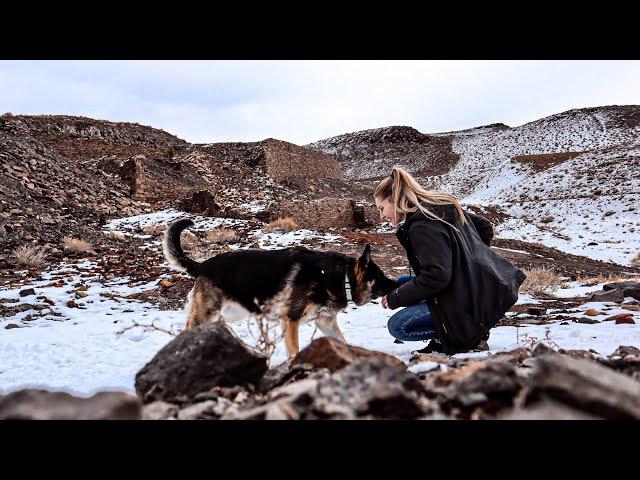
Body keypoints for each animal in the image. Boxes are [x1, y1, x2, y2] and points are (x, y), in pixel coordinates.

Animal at [162, 218, 398, 356]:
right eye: (380, 276)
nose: (397, 283)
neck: (340, 276)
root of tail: (202, 265)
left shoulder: (325, 322)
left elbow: (343, 342)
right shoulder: (290, 321)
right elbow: (294, 352)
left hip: (228, 315)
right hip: (207, 315)